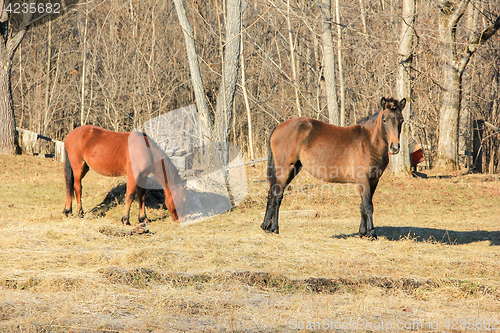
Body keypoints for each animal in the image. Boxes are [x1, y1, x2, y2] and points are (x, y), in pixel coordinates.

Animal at [262, 97, 406, 237]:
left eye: (401, 120)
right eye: (384, 120)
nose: (394, 147)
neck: (369, 142)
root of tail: (279, 127)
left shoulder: (374, 180)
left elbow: (363, 205)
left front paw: (362, 232)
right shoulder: (363, 179)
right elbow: (368, 205)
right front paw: (371, 233)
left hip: (293, 168)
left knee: (271, 194)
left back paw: (266, 227)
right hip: (285, 169)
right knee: (277, 196)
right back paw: (274, 228)